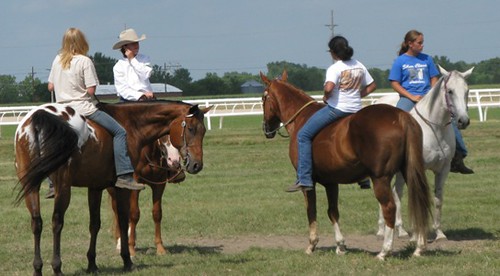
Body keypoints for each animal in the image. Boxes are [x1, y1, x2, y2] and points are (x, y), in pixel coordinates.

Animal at [14, 100, 209, 274]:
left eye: (204, 131)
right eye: (191, 129)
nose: (197, 165)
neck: (131, 125)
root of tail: (38, 117)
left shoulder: (95, 187)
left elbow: (94, 224)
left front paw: (92, 264)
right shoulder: (122, 188)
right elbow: (124, 219)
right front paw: (127, 259)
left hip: (31, 187)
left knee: (36, 222)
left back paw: (37, 268)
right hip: (63, 187)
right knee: (56, 222)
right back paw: (57, 267)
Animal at [260, 70, 432, 260]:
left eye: (263, 97)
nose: (266, 129)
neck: (301, 119)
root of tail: (401, 117)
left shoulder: (308, 182)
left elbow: (311, 210)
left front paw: (312, 244)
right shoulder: (331, 182)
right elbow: (333, 211)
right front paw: (340, 245)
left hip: (380, 178)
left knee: (389, 208)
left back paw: (384, 251)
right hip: (409, 172)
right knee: (421, 202)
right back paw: (419, 247)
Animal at [376, 66, 474, 240]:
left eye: (467, 90)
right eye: (450, 91)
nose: (463, 121)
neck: (434, 129)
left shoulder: (443, 170)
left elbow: (438, 199)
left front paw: (439, 233)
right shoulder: (415, 169)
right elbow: (417, 197)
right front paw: (417, 234)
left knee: (394, 192)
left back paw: (395, 229)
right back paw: (386, 230)